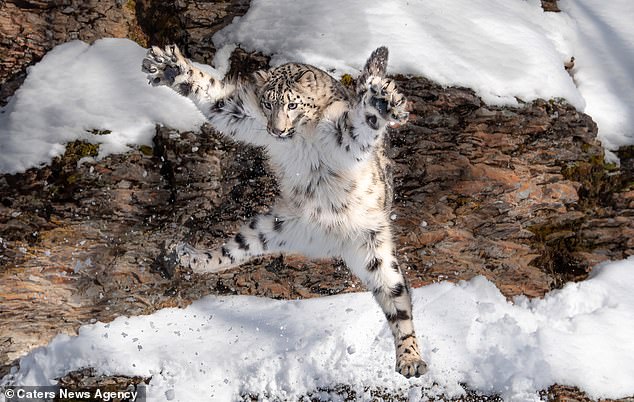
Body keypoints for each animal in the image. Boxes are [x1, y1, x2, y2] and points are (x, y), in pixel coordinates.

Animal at [141, 44, 428, 376]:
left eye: (292, 104)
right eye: (268, 103)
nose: (276, 130)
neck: (301, 138)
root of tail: (329, 243)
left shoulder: (343, 135)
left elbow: (361, 123)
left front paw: (381, 102)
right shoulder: (243, 115)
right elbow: (215, 98)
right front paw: (170, 68)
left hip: (375, 250)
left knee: (397, 302)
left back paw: (410, 359)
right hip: (271, 226)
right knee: (231, 252)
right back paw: (188, 257)